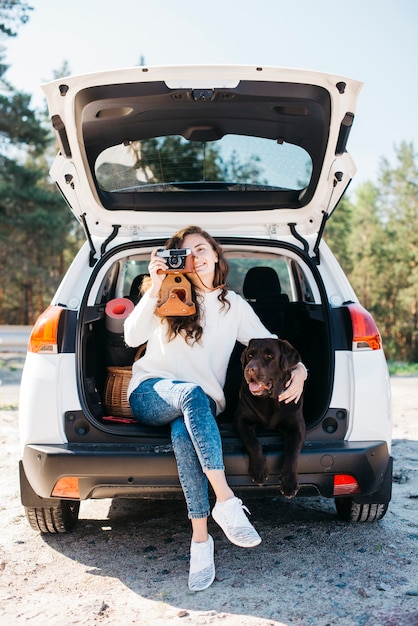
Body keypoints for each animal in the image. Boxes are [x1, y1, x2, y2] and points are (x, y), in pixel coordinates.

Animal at [233, 338, 306, 494]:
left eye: (269, 356)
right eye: (250, 355)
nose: (249, 369)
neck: (268, 400)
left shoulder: (297, 427)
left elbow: (293, 452)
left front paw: (289, 482)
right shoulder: (241, 420)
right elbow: (252, 442)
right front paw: (259, 470)